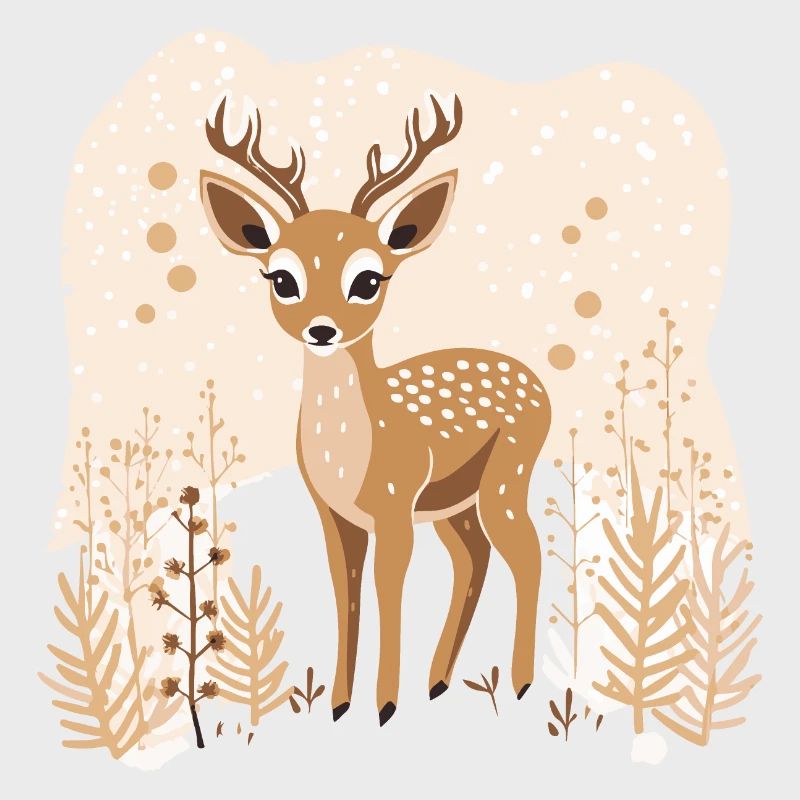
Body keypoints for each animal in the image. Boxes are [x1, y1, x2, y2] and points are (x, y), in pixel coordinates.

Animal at [200, 90, 551, 726]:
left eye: (368, 279)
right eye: (281, 278)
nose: (322, 329)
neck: (349, 458)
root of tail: (538, 382)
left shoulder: (394, 506)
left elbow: (390, 591)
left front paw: (385, 704)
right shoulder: (333, 515)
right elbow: (346, 595)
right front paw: (340, 701)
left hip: (507, 473)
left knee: (528, 553)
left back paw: (519, 684)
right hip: (453, 501)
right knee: (475, 557)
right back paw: (439, 681)